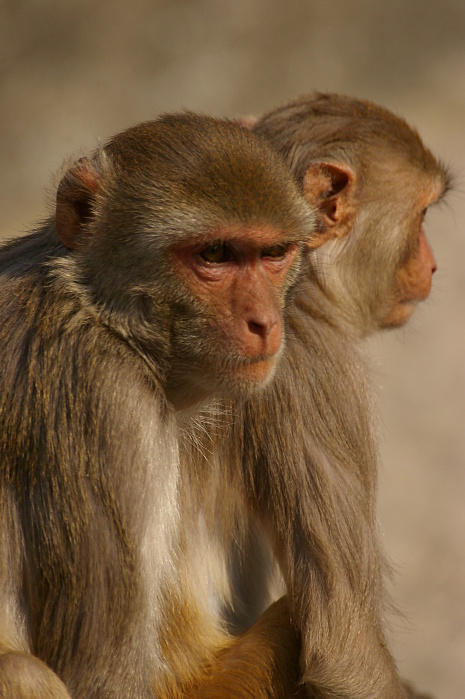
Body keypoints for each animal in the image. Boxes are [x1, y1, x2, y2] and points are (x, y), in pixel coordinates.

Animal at [0, 112, 316, 696]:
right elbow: (103, 678)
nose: (265, 322)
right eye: (214, 255)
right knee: (22, 673)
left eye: (272, 255)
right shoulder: (104, 401)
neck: (99, 311)